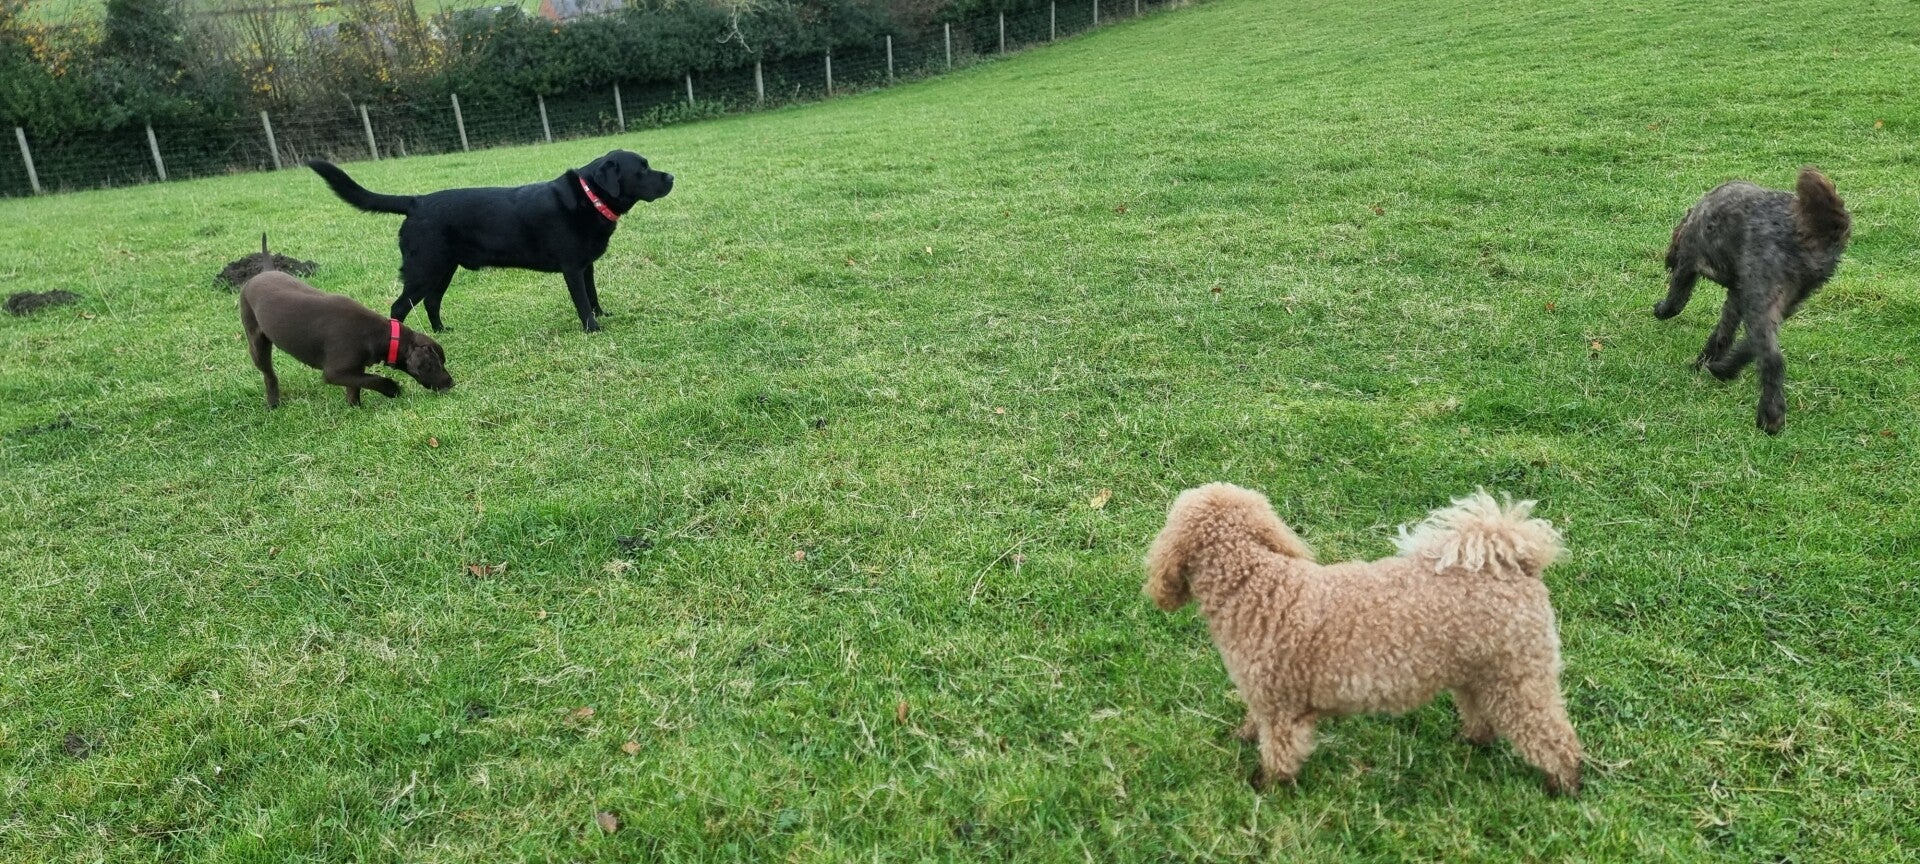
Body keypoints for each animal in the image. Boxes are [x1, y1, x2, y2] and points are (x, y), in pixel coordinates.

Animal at [239, 235, 454, 408]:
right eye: (436, 364)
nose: (452, 383)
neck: (382, 335)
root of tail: (263, 272)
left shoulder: (355, 368)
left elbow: (358, 384)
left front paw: (354, 407)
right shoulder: (334, 372)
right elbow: (374, 379)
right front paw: (392, 389)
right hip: (257, 342)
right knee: (269, 375)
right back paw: (273, 403)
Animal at [307, 151, 673, 333]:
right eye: (642, 169)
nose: (671, 176)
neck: (588, 198)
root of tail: (416, 202)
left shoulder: (587, 267)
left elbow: (593, 295)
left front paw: (602, 315)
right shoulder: (572, 268)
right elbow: (582, 302)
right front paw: (593, 328)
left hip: (444, 269)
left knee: (431, 303)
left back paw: (442, 331)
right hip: (424, 269)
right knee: (399, 308)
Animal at [1145, 483, 1582, 796]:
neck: (1254, 584)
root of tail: (1516, 565)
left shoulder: (1284, 708)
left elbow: (1279, 754)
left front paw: (1268, 790)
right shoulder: (1266, 699)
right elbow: (1255, 724)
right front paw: (1243, 737)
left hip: (1519, 676)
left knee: (1554, 736)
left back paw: (1563, 785)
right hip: (1479, 672)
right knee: (1482, 714)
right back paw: (1472, 742)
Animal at [1656, 167, 1851, 434]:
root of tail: (1815, 226)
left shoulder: (1688, 262)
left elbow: (1677, 299)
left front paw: (1661, 310)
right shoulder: (1738, 295)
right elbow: (1723, 335)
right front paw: (1705, 360)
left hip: (1762, 295)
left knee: (1772, 358)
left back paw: (1770, 416)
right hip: (1780, 300)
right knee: (1753, 345)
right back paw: (1723, 369)